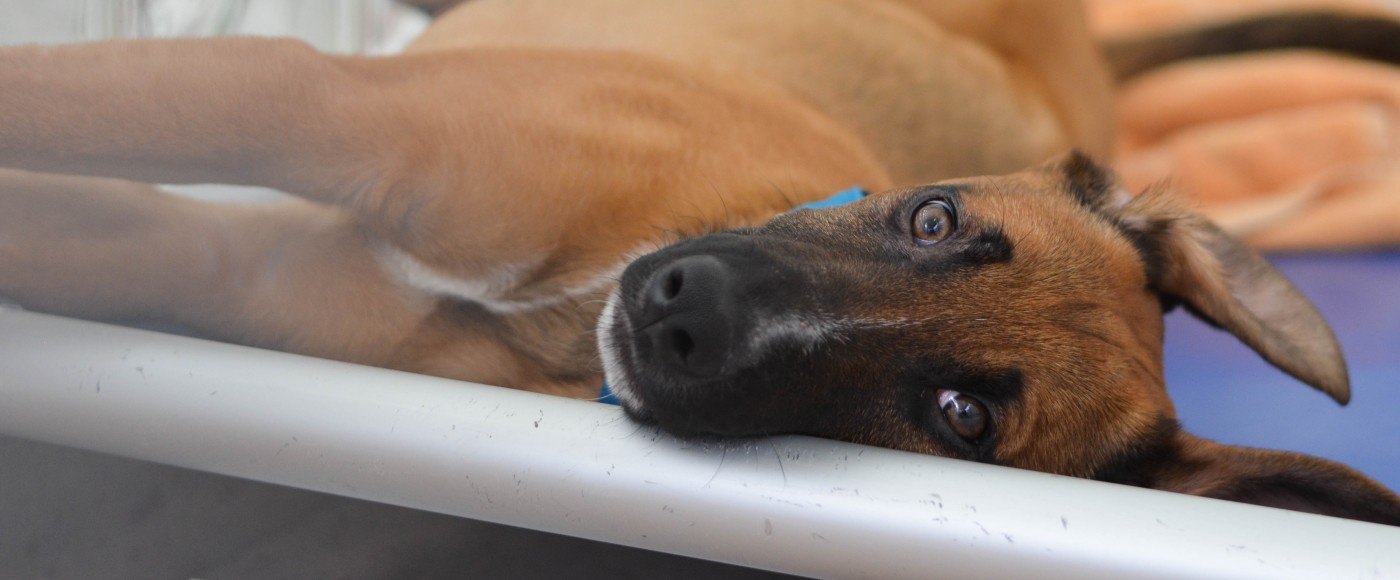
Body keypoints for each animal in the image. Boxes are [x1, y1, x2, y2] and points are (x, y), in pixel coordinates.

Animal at [0, 1, 1394, 526]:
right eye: (932, 219)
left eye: (960, 417)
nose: (682, 310)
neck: (559, 319)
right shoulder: (310, 107)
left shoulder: (213, 256)